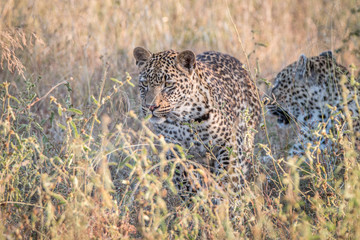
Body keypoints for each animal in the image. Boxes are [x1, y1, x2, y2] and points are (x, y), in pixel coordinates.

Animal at [134, 47, 260, 201]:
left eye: (168, 84)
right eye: (145, 84)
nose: (151, 107)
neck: (181, 117)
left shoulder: (231, 142)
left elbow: (228, 172)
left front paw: (222, 195)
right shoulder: (175, 150)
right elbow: (184, 176)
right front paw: (195, 197)